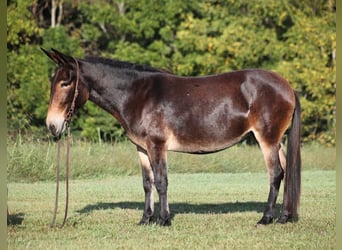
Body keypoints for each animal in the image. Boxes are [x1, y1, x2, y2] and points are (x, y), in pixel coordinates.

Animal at [41, 48, 300, 227]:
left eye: (66, 83)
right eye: (53, 82)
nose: (52, 126)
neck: (138, 96)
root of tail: (286, 85)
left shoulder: (157, 145)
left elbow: (161, 181)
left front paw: (164, 219)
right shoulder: (142, 148)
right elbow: (147, 183)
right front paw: (145, 219)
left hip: (267, 139)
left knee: (276, 174)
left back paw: (265, 218)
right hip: (277, 141)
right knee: (287, 172)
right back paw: (285, 217)